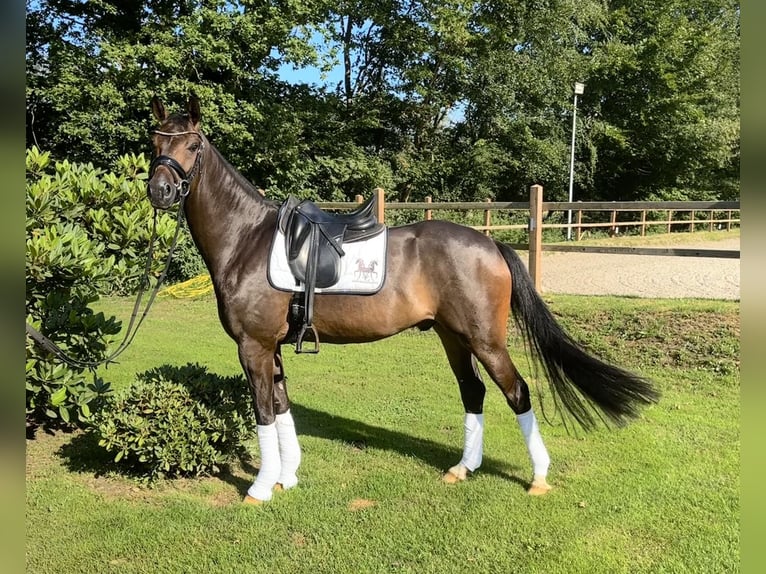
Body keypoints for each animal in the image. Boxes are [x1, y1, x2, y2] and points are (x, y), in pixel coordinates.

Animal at [146, 97, 660, 506]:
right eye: (154, 143)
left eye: (192, 146)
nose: (159, 190)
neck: (248, 240)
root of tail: (490, 244)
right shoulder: (270, 348)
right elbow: (282, 405)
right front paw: (286, 478)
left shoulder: (252, 346)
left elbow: (264, 412)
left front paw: (259, 487)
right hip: (454, 338)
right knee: (473, 393)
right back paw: (463, 468)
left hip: (485, 340)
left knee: (517, 392)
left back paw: (537, 477)